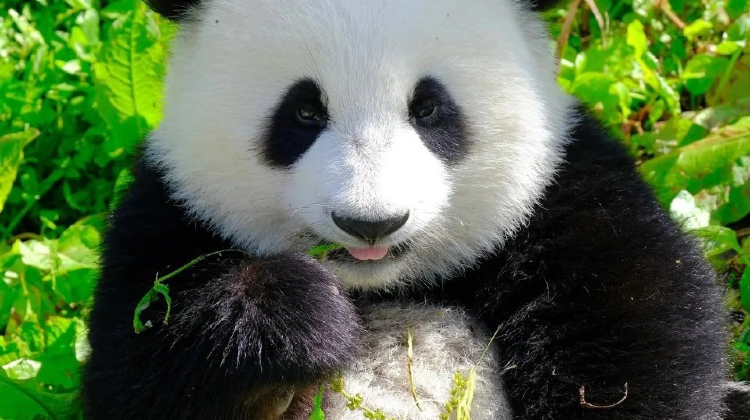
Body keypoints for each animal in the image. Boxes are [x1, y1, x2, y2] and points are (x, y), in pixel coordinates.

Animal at [81, 0, 743, 419]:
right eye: (303, 112)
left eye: (428, 108)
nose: (371, 222)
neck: (387, 285)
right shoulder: (166, 213)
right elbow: (135, 365)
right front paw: (297, 320)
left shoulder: (569, 198)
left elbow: (642, 337)